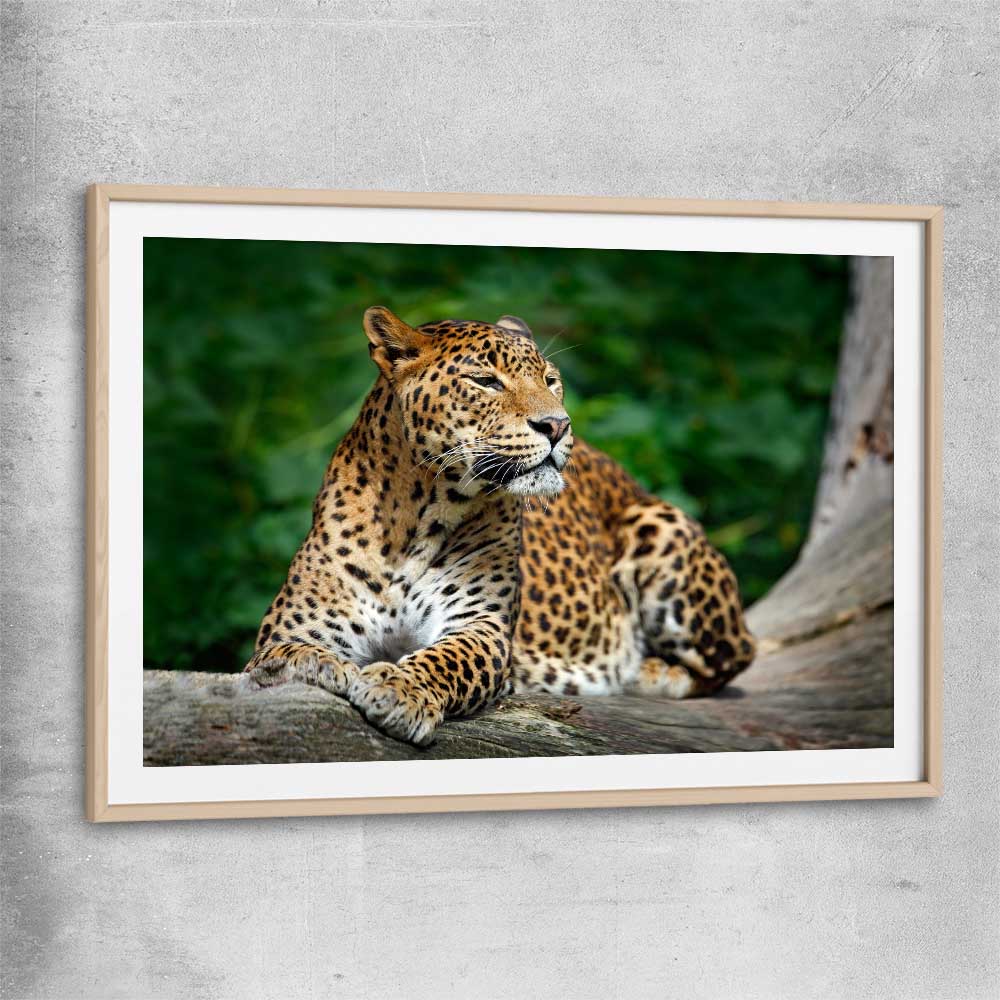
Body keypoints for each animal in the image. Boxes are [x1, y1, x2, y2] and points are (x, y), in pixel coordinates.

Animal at [245, 306, 756, 745]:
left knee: (736, 654)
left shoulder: (481, 625)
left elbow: (446, 659)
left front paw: (398, 688)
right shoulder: (291, 628)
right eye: (485, 380)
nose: (558, 425)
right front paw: (322, 667)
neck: (415, 518)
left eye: (551, 380)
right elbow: (285, 656)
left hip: (661, 526)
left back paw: (650, 671)